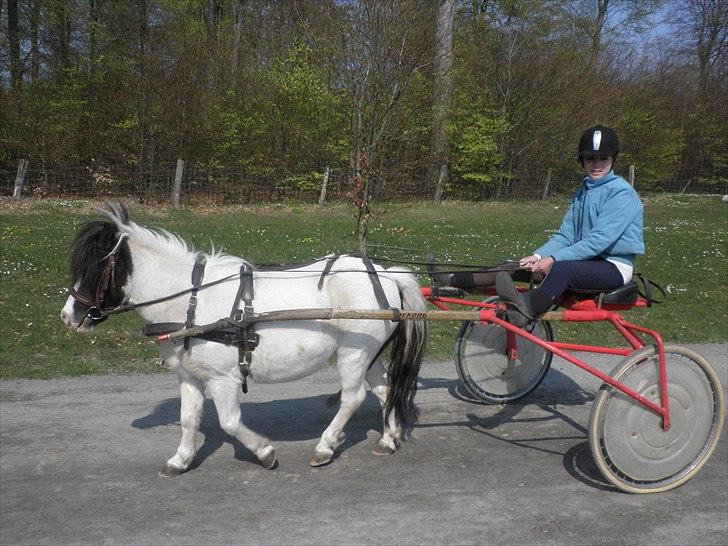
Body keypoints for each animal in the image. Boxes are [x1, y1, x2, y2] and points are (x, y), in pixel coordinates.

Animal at [62, 202, 430, 474]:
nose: (68, 317)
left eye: (95, 267)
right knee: (384, 391)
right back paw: (388, 439)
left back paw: (325, 446)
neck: (191, 300)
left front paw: (265, 452)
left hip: (354, 354)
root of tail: (385, 275)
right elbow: (188, 419)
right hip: (370, 355)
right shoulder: (190, 376)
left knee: (352, 399)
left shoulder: (223, 378)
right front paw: (181, 460)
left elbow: (229, 422)